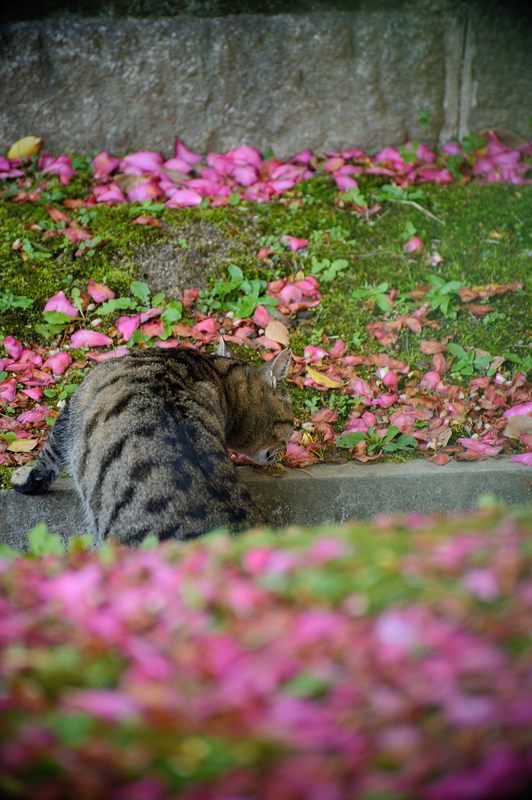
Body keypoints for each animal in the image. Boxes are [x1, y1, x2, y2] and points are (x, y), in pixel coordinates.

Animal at [11, 344, 296, 544]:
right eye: (292, 420)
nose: (286, 448)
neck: (213, 371)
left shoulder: (74, 408)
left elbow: (48, 457)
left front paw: (24, 480)